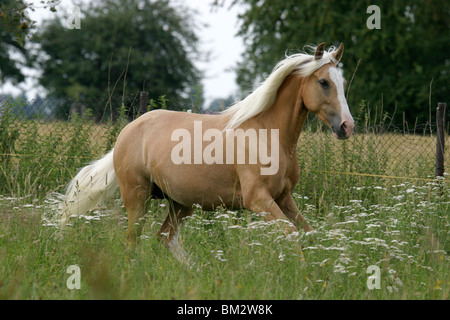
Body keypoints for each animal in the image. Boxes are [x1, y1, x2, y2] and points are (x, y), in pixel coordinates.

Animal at [60, 42, 356, 262]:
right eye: (324, 82)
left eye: (342, 82)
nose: (347, 126)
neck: (268, 134)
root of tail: (129, 130)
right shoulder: (258, 199)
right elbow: (292, 234)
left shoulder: (283, 197)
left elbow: (308, 233)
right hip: (137, 197)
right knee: (133, 241)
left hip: (180, 203)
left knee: (164, 239)